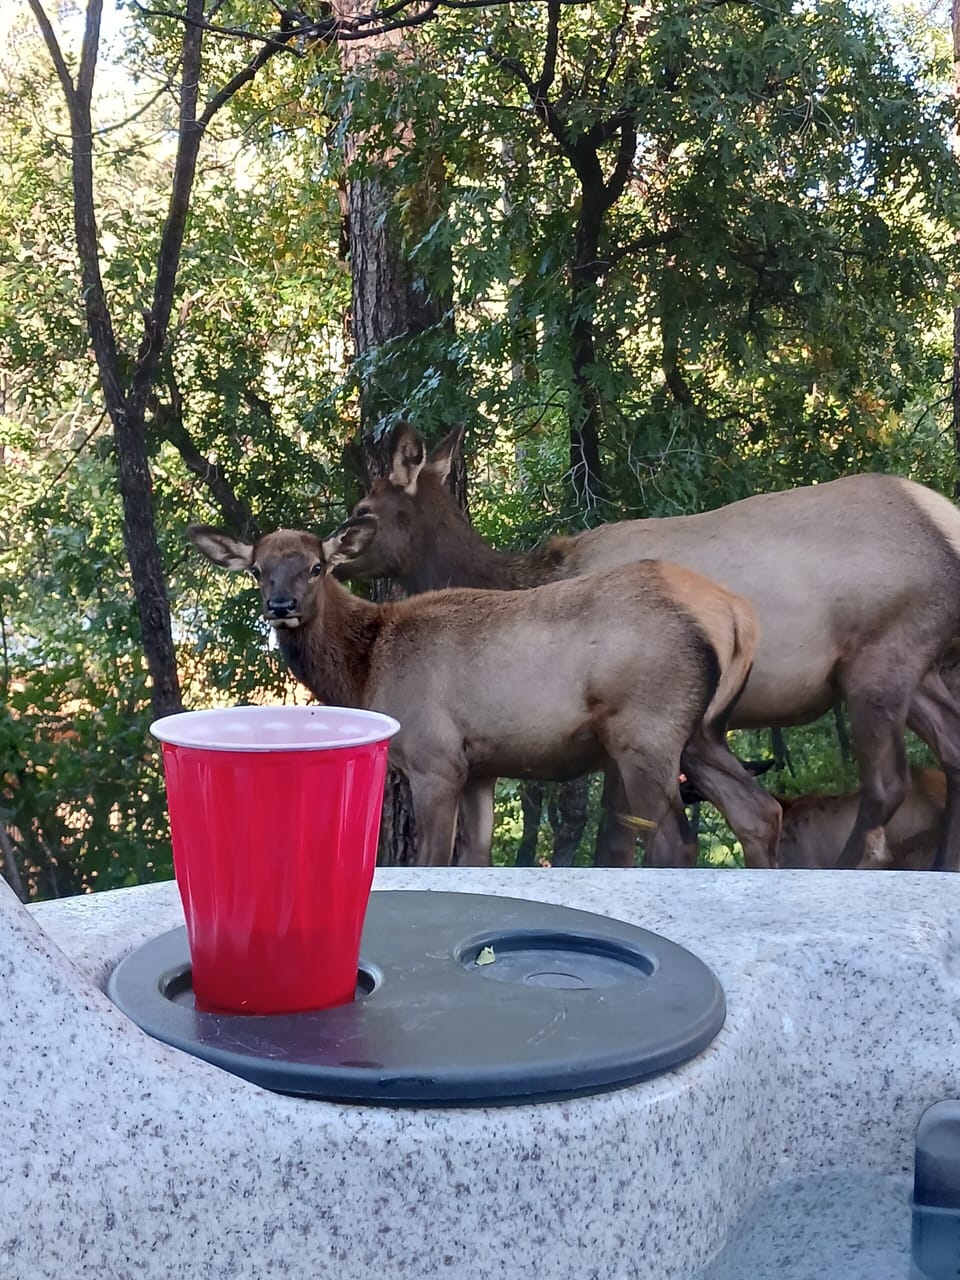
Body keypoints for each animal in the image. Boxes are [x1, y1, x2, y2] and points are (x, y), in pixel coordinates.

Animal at [188, 520, 782, 869]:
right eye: (258, 570)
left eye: (316, 567)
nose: (281, 605)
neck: (366, 669)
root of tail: (737, 614)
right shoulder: (480, 767)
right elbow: (475, 858)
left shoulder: (434, 757)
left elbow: (430, 861)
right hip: (701, 731)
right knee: (760, 810)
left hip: (645, 727)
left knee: (675, 838)